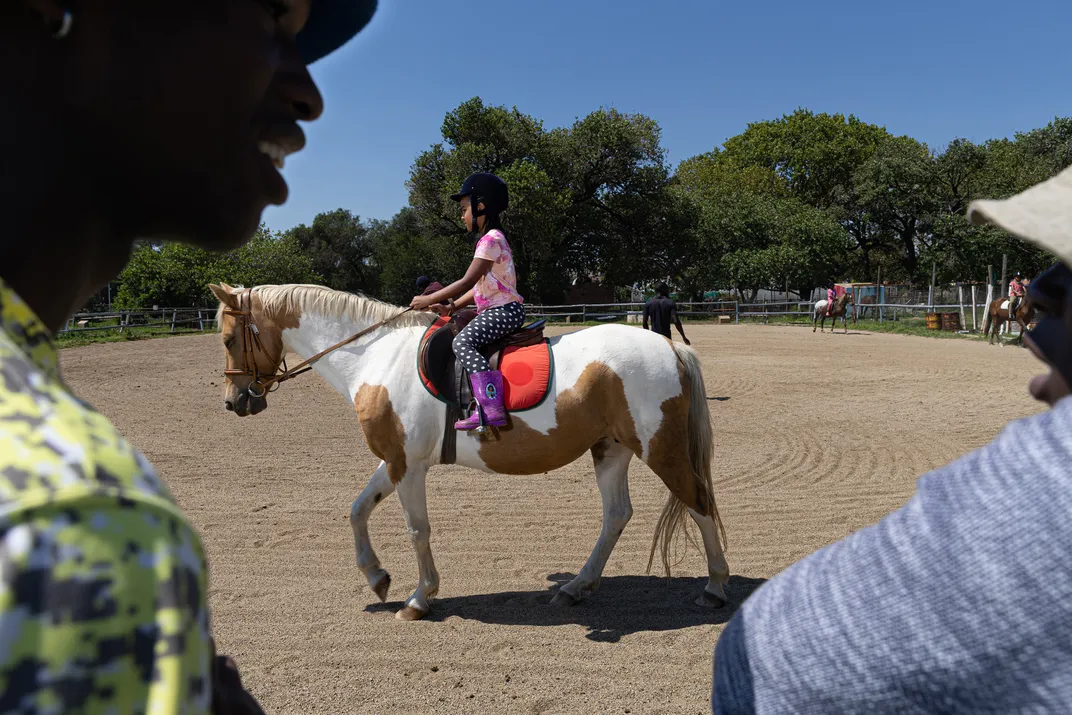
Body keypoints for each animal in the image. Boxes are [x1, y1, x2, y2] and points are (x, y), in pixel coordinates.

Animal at [209, 282, 728, 621]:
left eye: (230, 339)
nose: (235, 402)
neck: (374, 355)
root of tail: (670, 348)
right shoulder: (395, 460)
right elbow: (357, 510)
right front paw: (377, 578)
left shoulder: (408, 467)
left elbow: (417, 530)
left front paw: (419, 599)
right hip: (611, 450)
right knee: (617, 514)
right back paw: (577, 587)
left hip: (660, 450)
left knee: (698, 503)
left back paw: (715, 587)